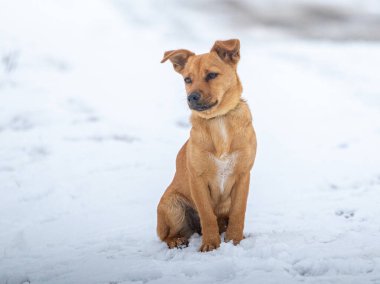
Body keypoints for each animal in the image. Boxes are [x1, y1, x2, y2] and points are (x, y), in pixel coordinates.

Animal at [156, 38, 256, 252]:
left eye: (211, 75)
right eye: (187, 80)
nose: (191, 97)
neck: (218, 120)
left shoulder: (243, 175)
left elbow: (238, 212)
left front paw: (234, 241)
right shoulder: (198, 179)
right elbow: (207, 215)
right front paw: (211, 244)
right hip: (172, 204)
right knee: (167, 235)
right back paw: (176, 240)